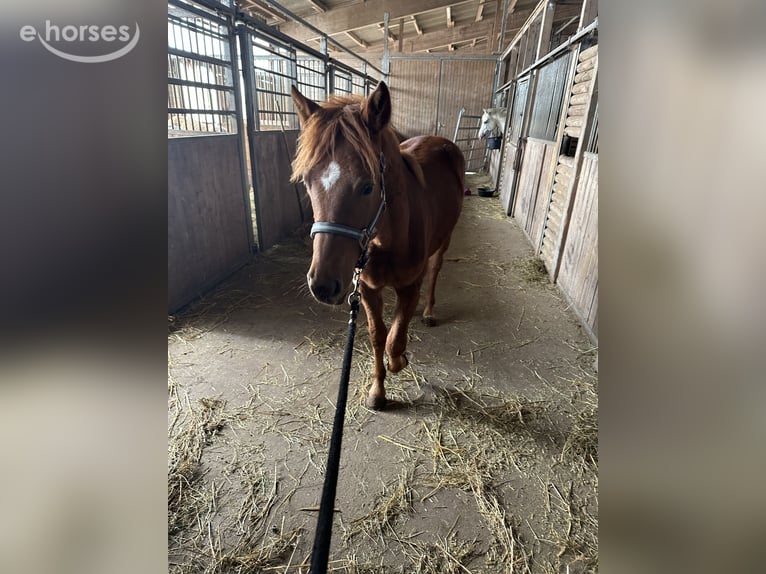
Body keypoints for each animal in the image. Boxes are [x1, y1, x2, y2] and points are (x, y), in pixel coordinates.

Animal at [290, 81, 465, 410]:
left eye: (367, 186)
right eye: (306, 181)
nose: (323, 286)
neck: (389, 237)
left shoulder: (409, 285)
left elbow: (395, 339)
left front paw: (400, 360)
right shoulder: (368, 289)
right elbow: (378, 335)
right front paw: (377, 391)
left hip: (445, 239)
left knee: (436, 270)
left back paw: (428, 312)